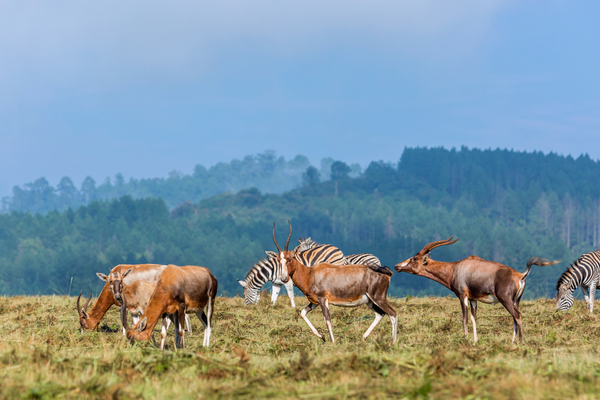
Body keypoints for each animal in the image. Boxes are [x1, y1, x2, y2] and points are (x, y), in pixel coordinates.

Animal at [394, 238, 556, 344]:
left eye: (415, 258)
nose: (397, 266)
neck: (456, 268)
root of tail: (521, 275)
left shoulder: (462, 296)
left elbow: (464, 318)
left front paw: (465, 339)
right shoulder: (473, 299)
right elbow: (474, 318)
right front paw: (475, 341)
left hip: (506, 300)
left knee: (518, 316)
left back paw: (521, 343)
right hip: (516, 301)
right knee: (514, 317)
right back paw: (512, 342)